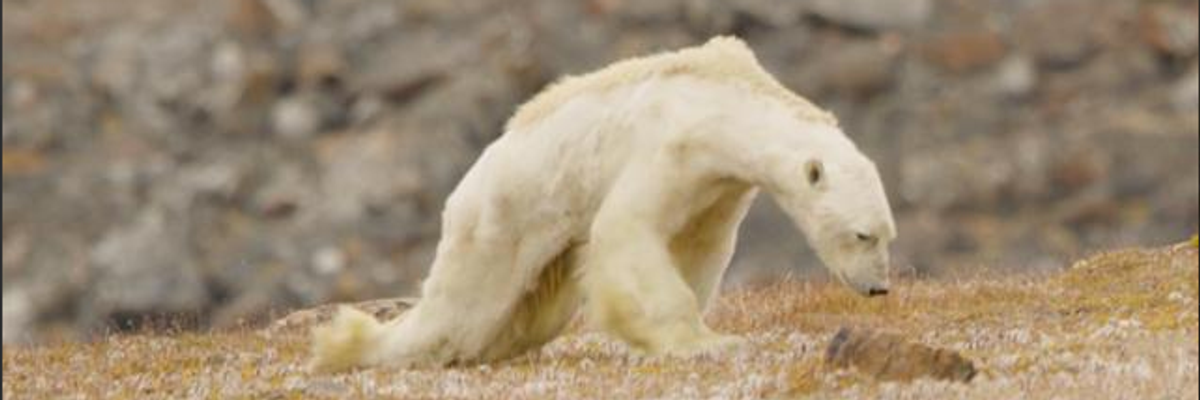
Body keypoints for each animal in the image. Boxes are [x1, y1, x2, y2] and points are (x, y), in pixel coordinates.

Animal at [310, 36, 897, 372]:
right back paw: (349, 348)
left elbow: (699, 246)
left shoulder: (719, 185)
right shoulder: (669, 145)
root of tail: (463, 189)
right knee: (461, 311)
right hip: (501, 218)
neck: (726, 101)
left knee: (528, 315)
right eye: (862, 234)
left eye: (887, 235)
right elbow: (627, 230)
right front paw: (703, 342)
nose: (878, 288)